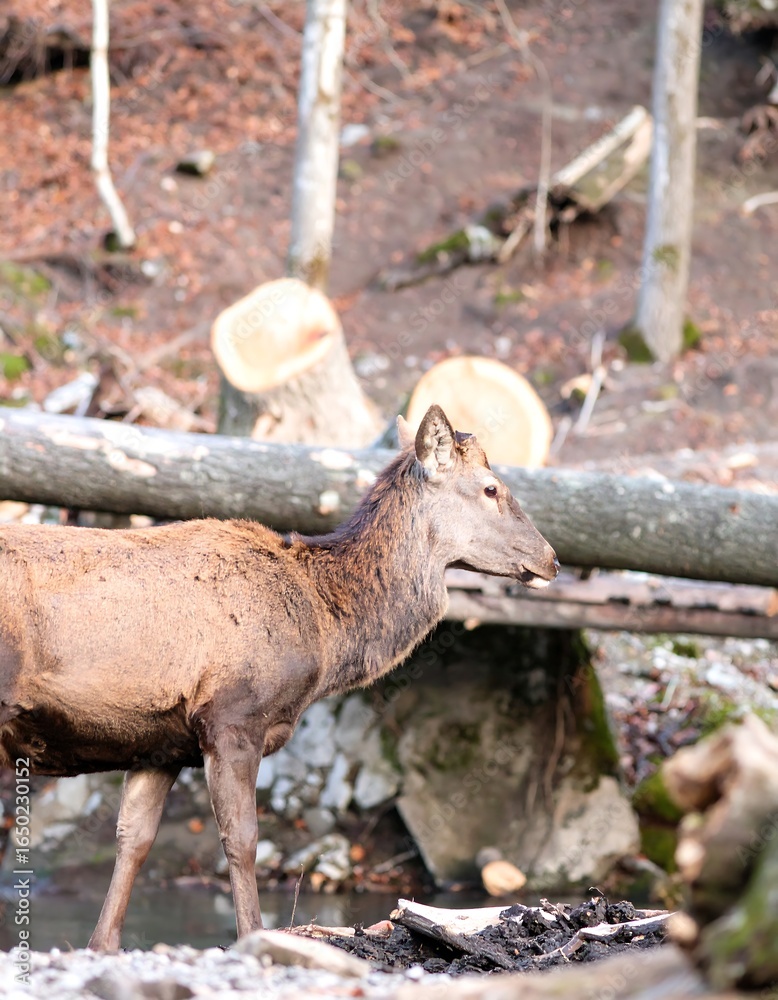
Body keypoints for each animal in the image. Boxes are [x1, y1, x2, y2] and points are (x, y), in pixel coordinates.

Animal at [0, 404, 558, 951]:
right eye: (491, 488)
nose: (551, 558)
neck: (325, 633)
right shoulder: (232, 717)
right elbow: (243, 839)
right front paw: (253, 937)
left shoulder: (158, 743)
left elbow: (133, 840)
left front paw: (102, 943)